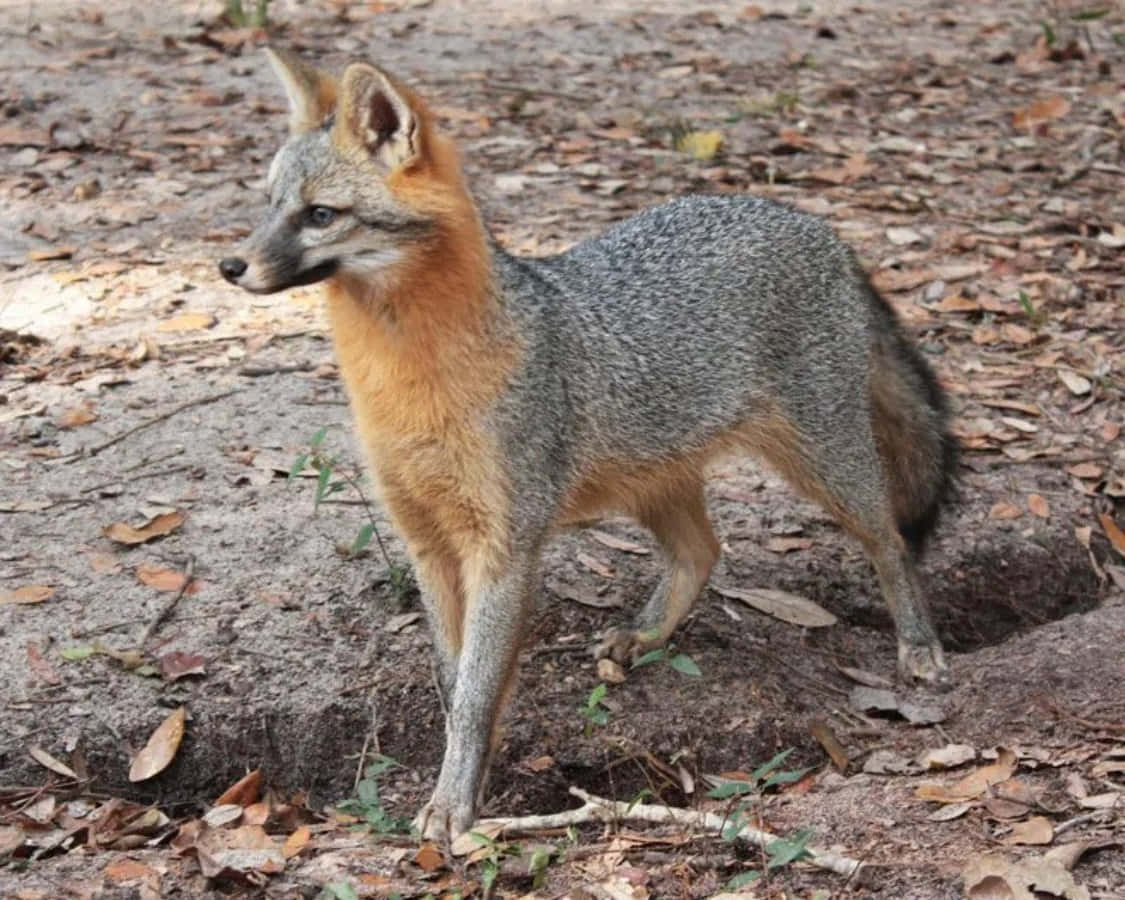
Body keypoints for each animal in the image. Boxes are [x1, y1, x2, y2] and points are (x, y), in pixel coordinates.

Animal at [219, 48, 957, 840]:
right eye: (268, 204)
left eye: (319, 215)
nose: (230, 267)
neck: (412, 379)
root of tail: (815, 224)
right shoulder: (428, 541)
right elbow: (454, 683)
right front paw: (464, 776)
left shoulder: (503, 546)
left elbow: (475, 691)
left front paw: (454, 804)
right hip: (653, 483)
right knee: (703, 550)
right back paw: (644, 636)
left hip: (824, 464)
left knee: (889, 541)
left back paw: (919, 645)